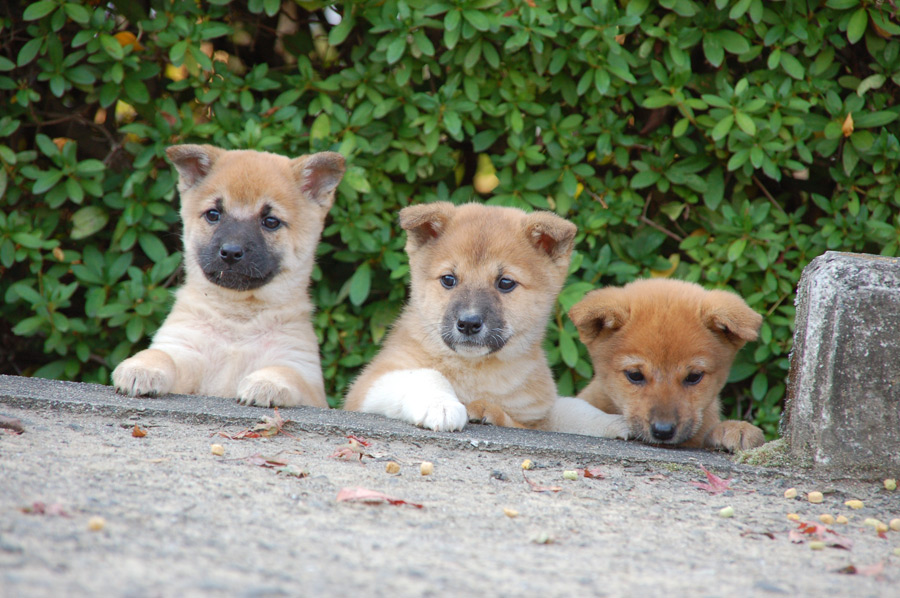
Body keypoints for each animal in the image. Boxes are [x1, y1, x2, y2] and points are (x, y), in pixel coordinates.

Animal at [112, 144, 344, 408]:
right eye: (213, 214)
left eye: (271, 221)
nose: (231, 252)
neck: (238, 322)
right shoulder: (184, 349)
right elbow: (160, 354)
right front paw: (142, 368)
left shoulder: (302, 372)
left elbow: (287, 372)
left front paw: (268, 383)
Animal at [342, 202, 628, 440]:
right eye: (449, 279)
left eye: (505, 283)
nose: (468, 323)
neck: (477, 371)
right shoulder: (367, 386)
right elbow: (426, 374)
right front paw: (442, 405)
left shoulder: (537, 413)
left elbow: (572, 407)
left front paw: (612, 422)